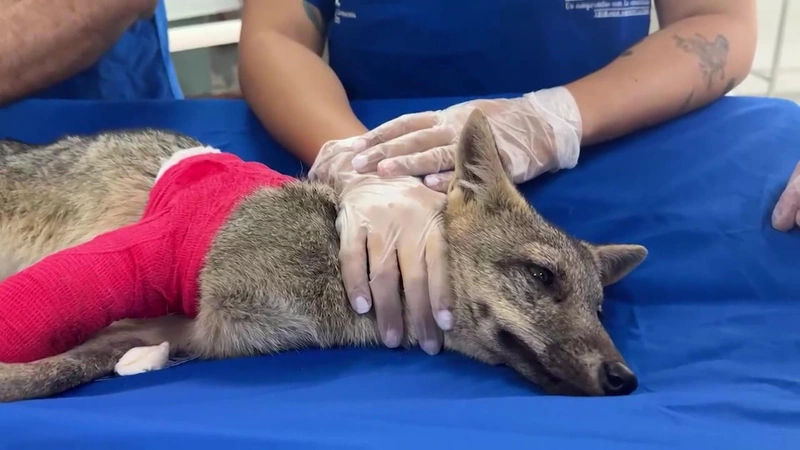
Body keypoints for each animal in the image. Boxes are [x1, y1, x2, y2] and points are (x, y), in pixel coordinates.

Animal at [0, 109, 647, 402]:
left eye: (599, 312)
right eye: (541, 276)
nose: (625, 379)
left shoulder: (179, 331)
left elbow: (74, 365)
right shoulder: (152, 266)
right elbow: (53, 356)